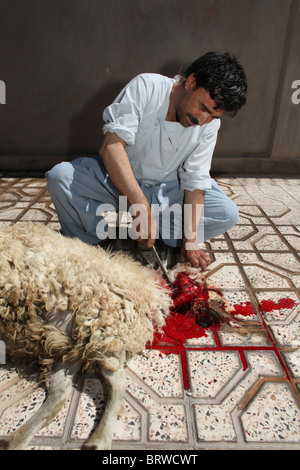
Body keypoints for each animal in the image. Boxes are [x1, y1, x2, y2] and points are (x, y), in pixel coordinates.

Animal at [0, 224, 171, 452]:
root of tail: (152, 293)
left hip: (106, 330)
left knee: (117, 384)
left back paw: (99, 440)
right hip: (74, 343)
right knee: (61, 392)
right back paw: (17, 439)